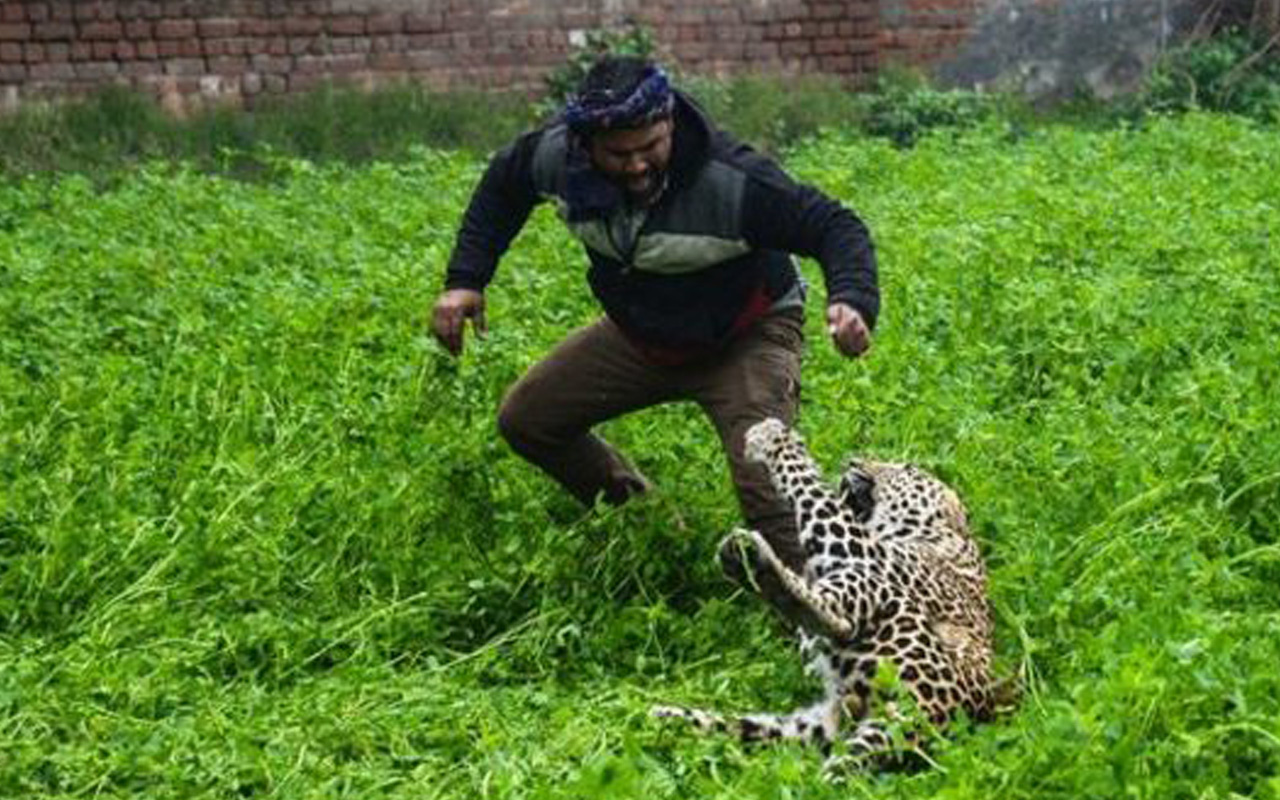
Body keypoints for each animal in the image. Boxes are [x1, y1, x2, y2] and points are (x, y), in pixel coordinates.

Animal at [655, 414, 993, 762]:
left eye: (907, 469)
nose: (853, 461)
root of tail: (928, 717)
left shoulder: (862, 548)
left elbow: (812, 488)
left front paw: (773, 437)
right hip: (810, 728)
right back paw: (668, 716)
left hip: (889, 606)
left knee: (837, 619)